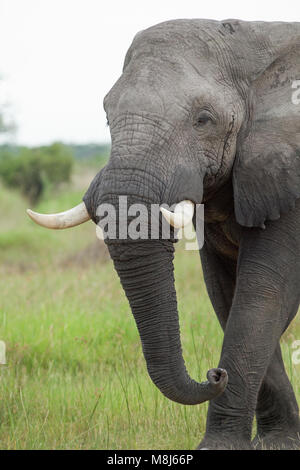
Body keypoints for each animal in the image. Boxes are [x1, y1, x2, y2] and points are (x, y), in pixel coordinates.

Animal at [26, 18, 300, 450]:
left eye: (204, 119)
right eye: (107, 117)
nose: (214, 374)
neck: (253, 43)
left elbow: (264, 292)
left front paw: (223, 446)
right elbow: (226, 294)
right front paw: (277, 442)